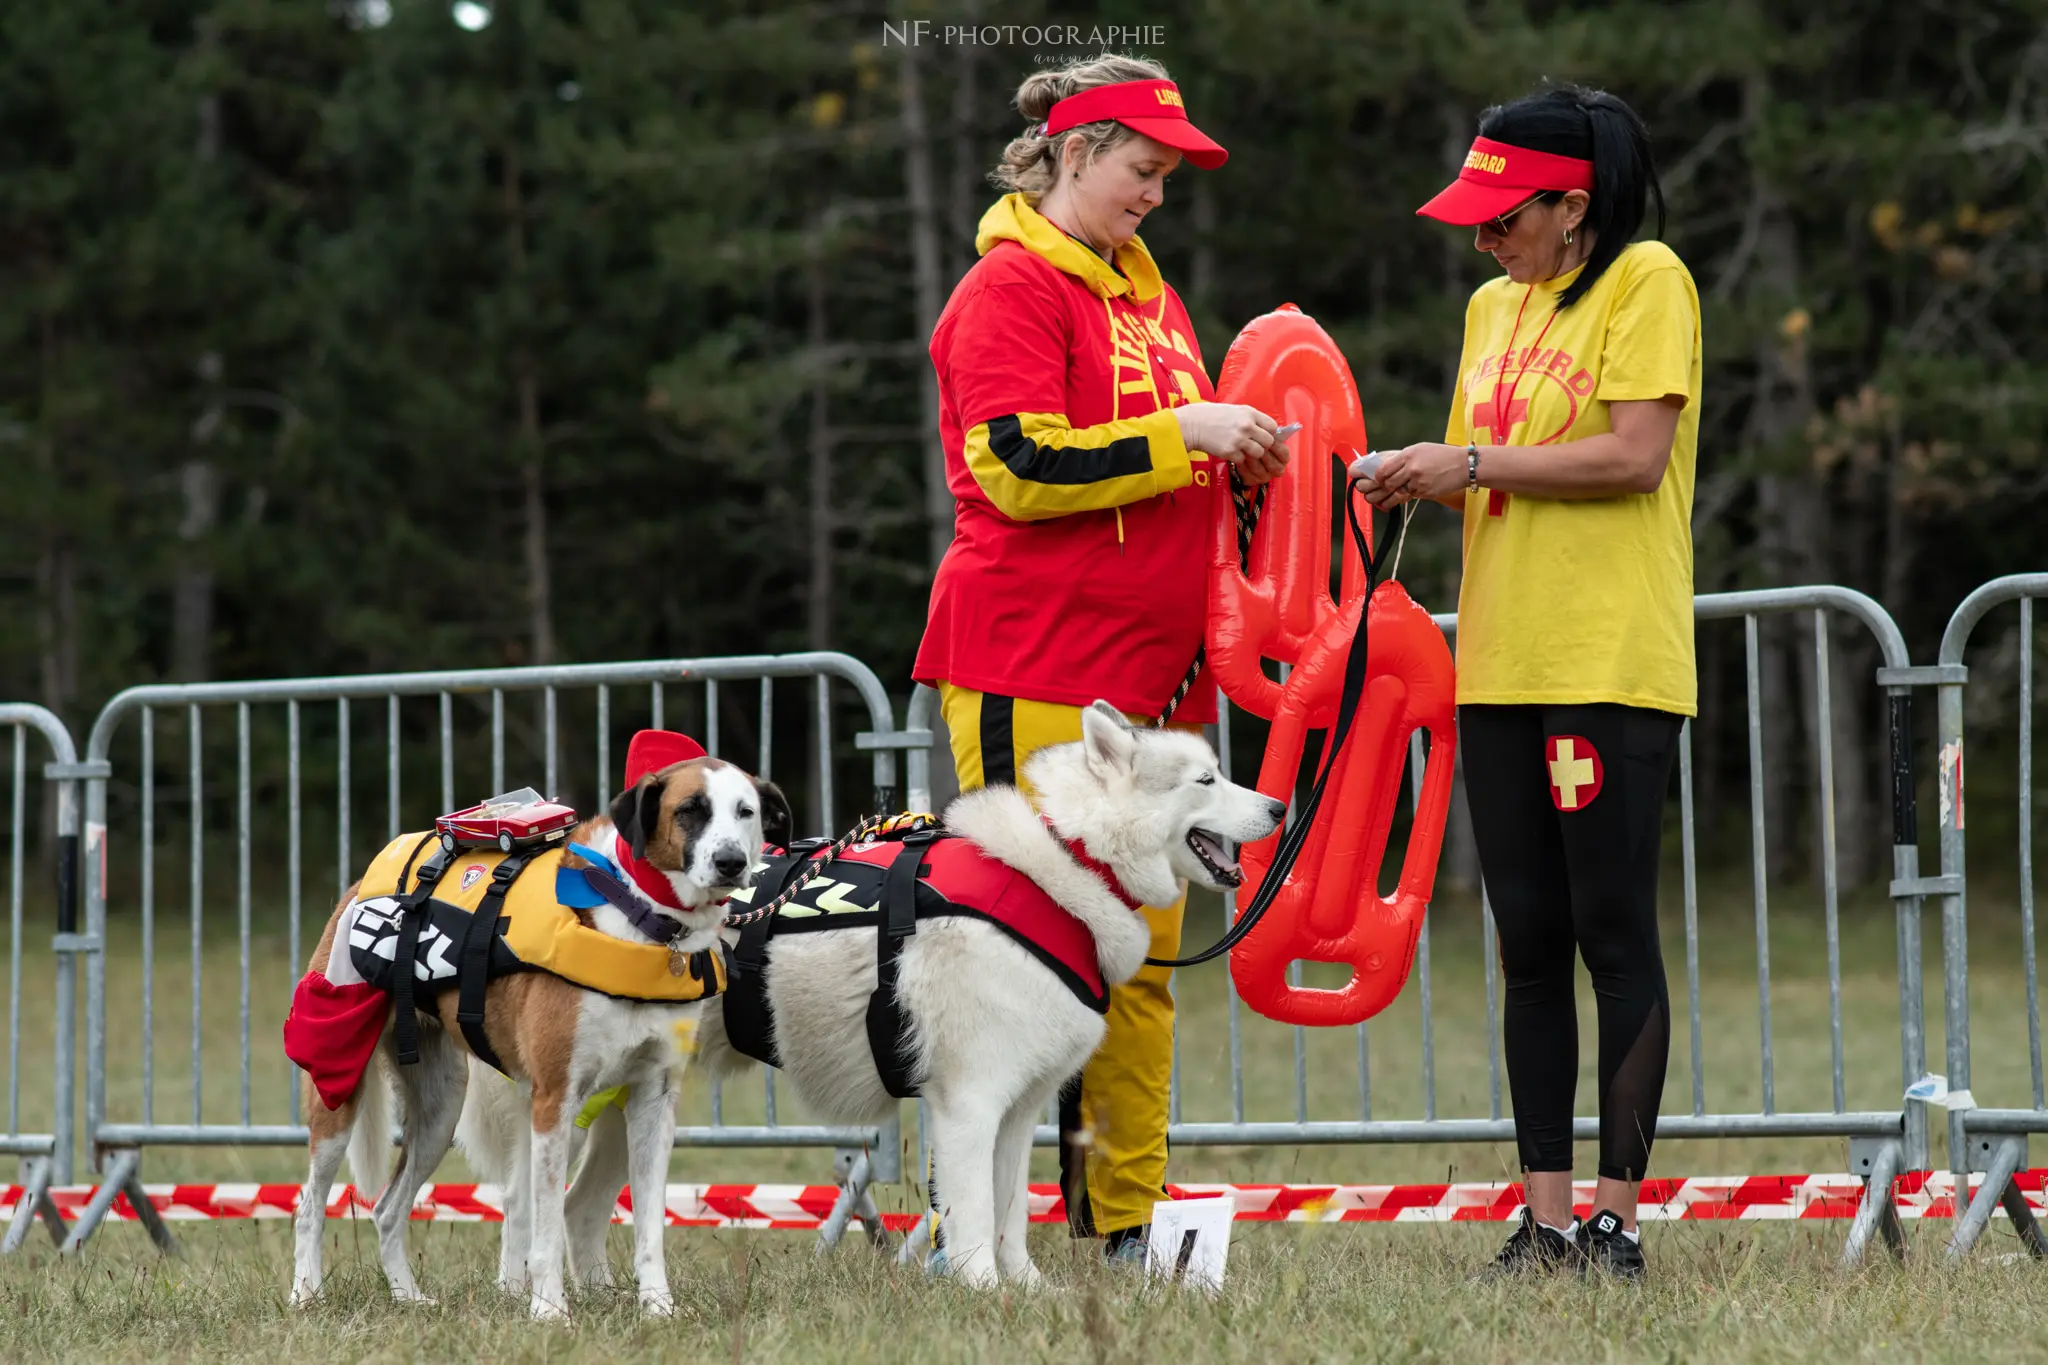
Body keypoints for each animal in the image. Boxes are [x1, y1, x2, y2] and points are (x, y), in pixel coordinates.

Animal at [292, 757, 786, 1326]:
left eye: (745, 811)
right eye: (690, 810)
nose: (731, 862)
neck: (639, 919)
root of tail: (359, 886)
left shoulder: (652, 1104)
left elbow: (649, 1228)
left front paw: (658, 1308)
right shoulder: (555, 1099)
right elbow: (546, 1225)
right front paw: (549, 1311)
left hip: (440, 1112)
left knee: (388, 1208)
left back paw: (407, 1297)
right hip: (338, 1088)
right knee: (309, 1204)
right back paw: (305, 1295)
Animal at [464, 703, 1286, 1293]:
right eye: (1207, 781)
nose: (1280, 809)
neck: (1065, 859)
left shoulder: (1019, 1109)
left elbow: (1012, 1215)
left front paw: (1026, 1292)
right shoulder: (968, 1104)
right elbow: (974, 1217)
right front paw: (983, 1294)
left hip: (626, 1100)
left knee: (575, 1207)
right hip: (566, 1099)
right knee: (524, 1203)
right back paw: (528, 1298)